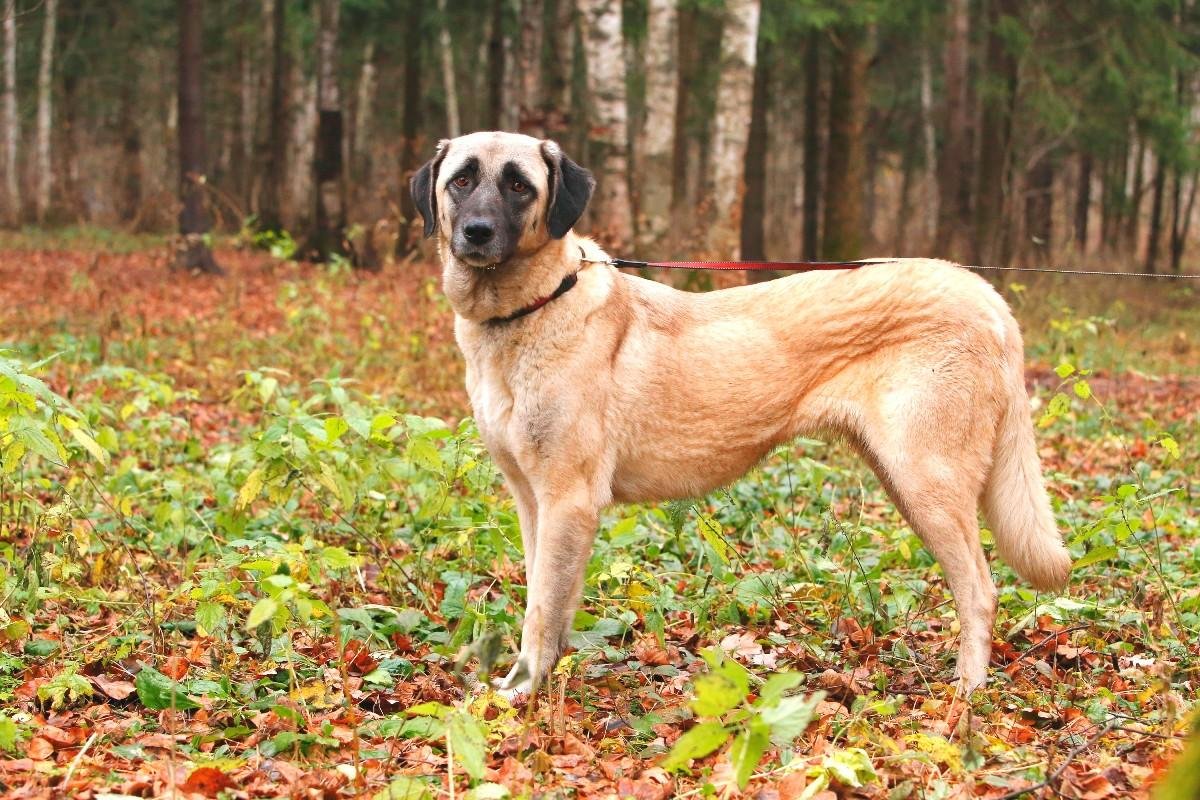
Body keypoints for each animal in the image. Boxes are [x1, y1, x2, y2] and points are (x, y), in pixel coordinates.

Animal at [410, 130, 1070, 695]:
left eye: (519, 185)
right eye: (461, 180)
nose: (476, 232)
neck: (529, 308)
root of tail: (984, 295)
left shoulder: (568, 497)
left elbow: (542, 611)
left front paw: (522, 694)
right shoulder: (534, 501)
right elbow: (548, 600)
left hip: (928, 481)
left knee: (980, 591)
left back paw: (965, 693)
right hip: (905, 482)